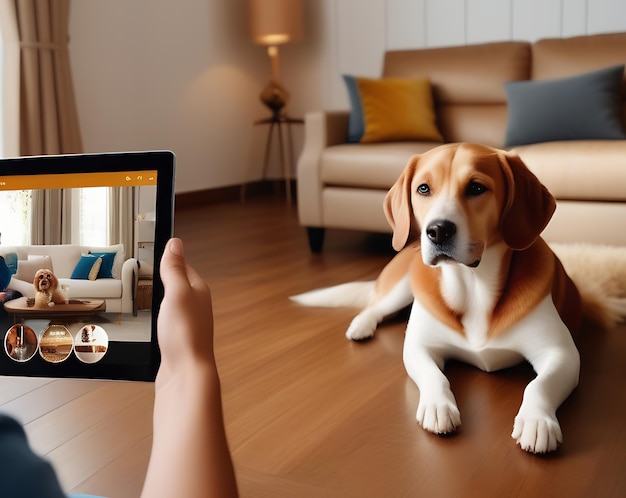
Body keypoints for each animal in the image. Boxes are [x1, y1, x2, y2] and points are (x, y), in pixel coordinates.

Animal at [292, 142, 624, 454]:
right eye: (423, 188)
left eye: (476, 187)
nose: (437, 230)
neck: (473, 286)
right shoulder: (419, 346)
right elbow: (434, 376)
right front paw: (437, 407)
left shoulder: (561, 354)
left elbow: (538, 386)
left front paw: (537, 420)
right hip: (403, 286)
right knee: (375, 306)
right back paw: (361, 326)